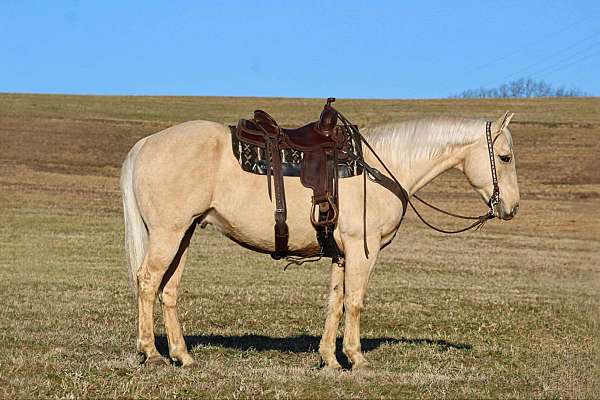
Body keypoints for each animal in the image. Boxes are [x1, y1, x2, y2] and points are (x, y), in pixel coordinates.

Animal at [119, 109, 516, 368]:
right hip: (168, 234)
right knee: (148, 281)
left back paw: (182, 355)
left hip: (183, 234)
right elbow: (354, 302)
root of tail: (145, 144)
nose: (510, 208)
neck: (380, 167)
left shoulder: (342, 254)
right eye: (506, 157)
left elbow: (335, 302)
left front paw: (330, 359)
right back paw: (151, 353)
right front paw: (356, 358)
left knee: (168, 290)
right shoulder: (362, 250)